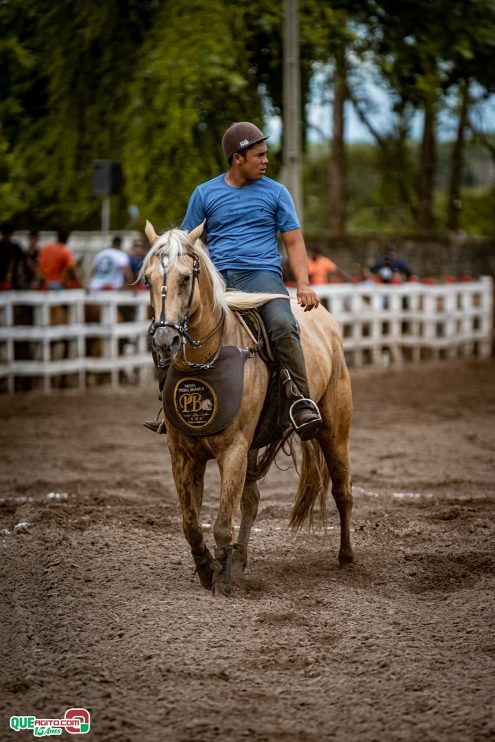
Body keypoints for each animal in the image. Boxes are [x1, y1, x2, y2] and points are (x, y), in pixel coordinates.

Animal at [141, 221, 354, 600]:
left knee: (342, 491)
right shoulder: (183, 454)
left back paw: (346, 556)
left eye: (185, 278)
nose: (165, 342)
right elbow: (191, 522)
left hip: (334, 430)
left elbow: (222, 523)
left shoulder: (234, 450)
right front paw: (207, 568)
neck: (209, 358)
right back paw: (239, 560)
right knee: (251, 500)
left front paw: (222, 580)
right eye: (148, 279)